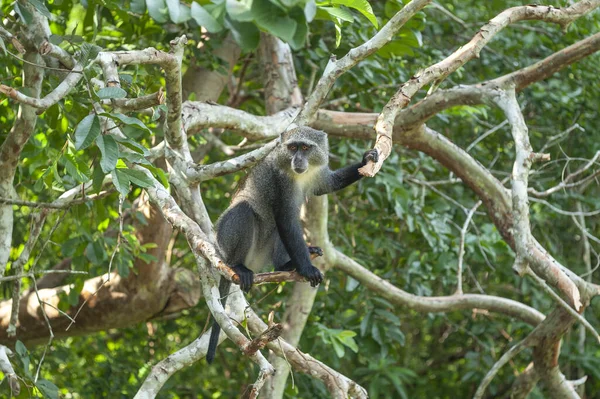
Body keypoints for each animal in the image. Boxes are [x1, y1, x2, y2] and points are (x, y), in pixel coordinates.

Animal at [205, 126, 376, 364]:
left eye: (305, 148)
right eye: (293, 147)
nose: (298, 159)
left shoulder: (317, 174)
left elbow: (329, 184)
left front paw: (366, 159)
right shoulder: (281, 184)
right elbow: (286, 220)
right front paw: (307, 269)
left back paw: (285, 266)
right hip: (226, 241)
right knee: (244, 209)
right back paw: (239, 266)